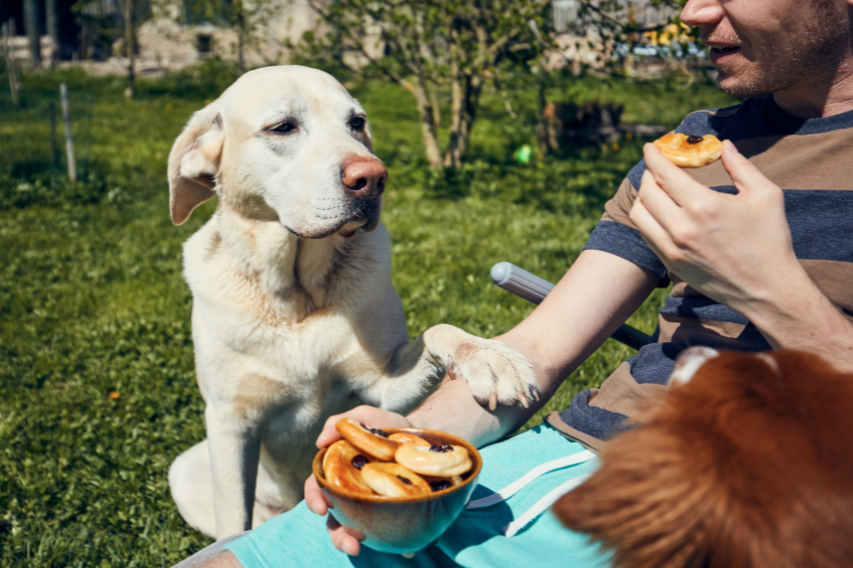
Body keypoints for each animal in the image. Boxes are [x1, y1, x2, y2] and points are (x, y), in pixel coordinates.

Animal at [167, 64, 540, 540]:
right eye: (282, 127)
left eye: (356, 122)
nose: (373, 178)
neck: (297, 294)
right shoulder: (231, 425)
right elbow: (235, 522)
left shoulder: (383, 390)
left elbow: (438, 331)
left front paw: (489, 357)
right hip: (186, 468)